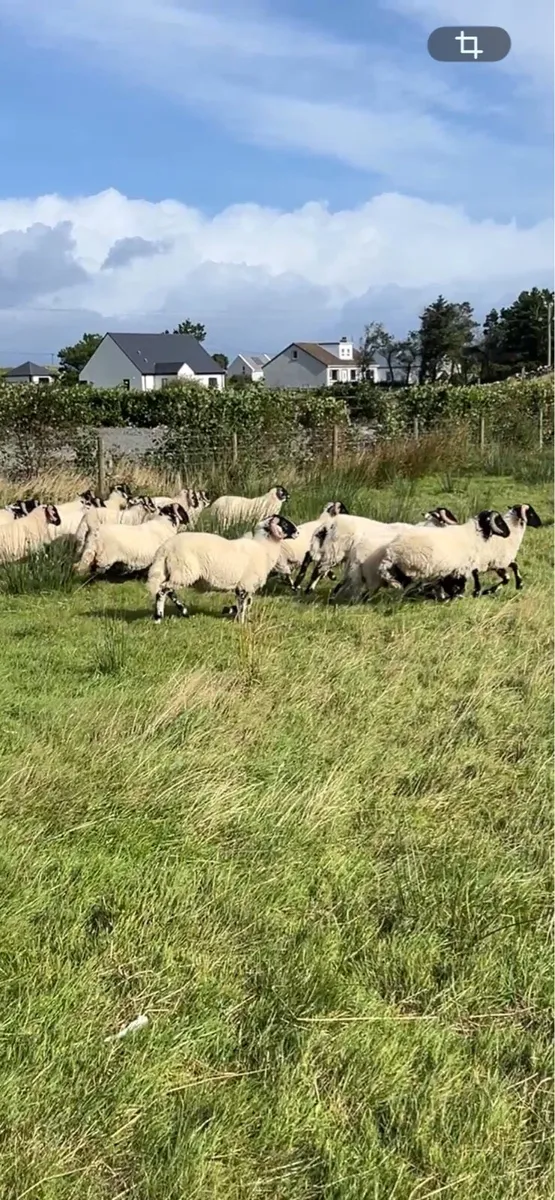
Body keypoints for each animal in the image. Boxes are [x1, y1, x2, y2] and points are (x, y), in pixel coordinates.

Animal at [147, 513, 299, 623]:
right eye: (284, 523)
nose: (297, 532)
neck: (263, 548)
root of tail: (165, 548)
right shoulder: (245, 584)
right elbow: (243, 604)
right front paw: (240, 621)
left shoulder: (244, 585)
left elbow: (247, 602)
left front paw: (229, 610)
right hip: (184, 571)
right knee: (162, 590)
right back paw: (159, 617)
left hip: (172, 572)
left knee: (168, 590)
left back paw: (183, 611)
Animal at [298, 507, 459, 594]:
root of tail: (328, 524)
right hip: (334, 551)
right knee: (317, 569)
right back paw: (307, 589)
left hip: (324, 549)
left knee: (311, 559)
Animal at [374, 509, 511, 600]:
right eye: (499, 521)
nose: (508, 533)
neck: (474, 535)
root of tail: (391, 553)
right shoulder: (461, 569)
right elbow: (459, 586)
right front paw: (455, 597)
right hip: (413, 570)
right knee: (410, 588)